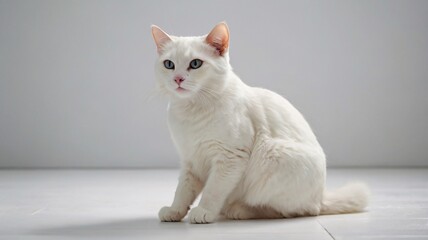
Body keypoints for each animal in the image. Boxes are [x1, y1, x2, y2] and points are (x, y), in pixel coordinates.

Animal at [150, 22, 368, 223]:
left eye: (195, 64)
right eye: (169, 64)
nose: (178, 79)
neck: (192, 112)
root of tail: (320, 197)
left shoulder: (230, 158)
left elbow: (213, 190)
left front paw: (204, 211)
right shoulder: (190, 160)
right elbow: (183, 191)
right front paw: (174, 211)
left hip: (274, 156)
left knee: (291, 211)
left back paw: (238, 210)